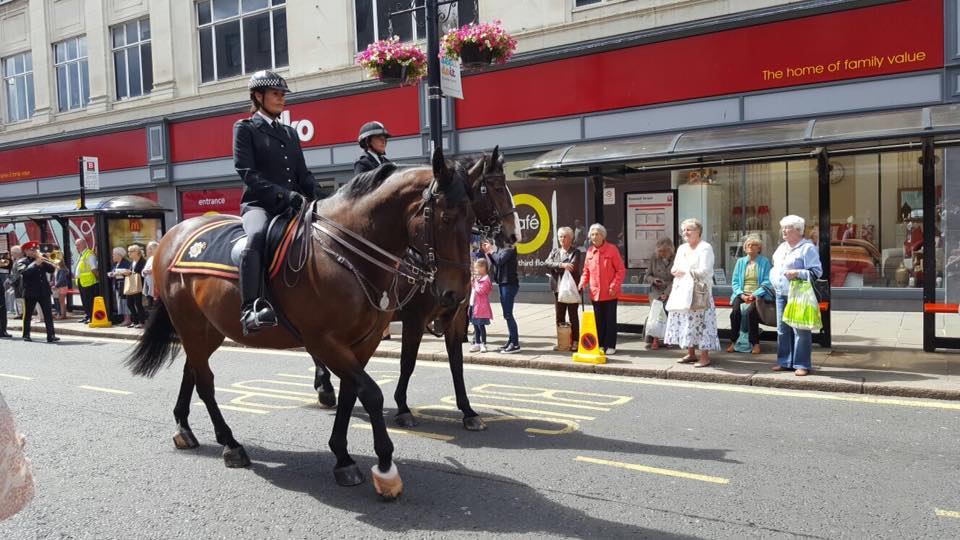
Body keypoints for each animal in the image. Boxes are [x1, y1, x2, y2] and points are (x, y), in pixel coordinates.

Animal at [125, 147, 474, 498]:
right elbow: (372, 393)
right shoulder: (325, 341)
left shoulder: (364, 342)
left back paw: (184, 428)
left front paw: (343, 457)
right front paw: (386, 468)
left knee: (192, 372)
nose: (455, 294)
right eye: (445, 217)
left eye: (472, 219)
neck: (345, 250)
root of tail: (174, 234)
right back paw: (230, 444)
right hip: (192, 326)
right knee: (205, 382)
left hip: (208, 330)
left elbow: (352, 394)